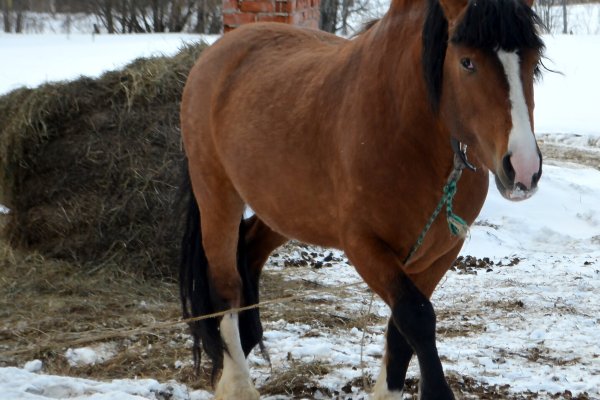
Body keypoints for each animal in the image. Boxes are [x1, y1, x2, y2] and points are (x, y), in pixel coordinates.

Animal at [177, 0, 544, 396]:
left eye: (534, 60)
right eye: (467, 62)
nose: (523, 170)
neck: (404, 128)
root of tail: (216, 52)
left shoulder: (441, 251)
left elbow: (401, 331)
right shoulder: (364, 246)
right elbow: (416, 316)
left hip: (286, 208)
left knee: (249, 250)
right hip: (217, 194)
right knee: (225, 285)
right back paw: (237, 385)